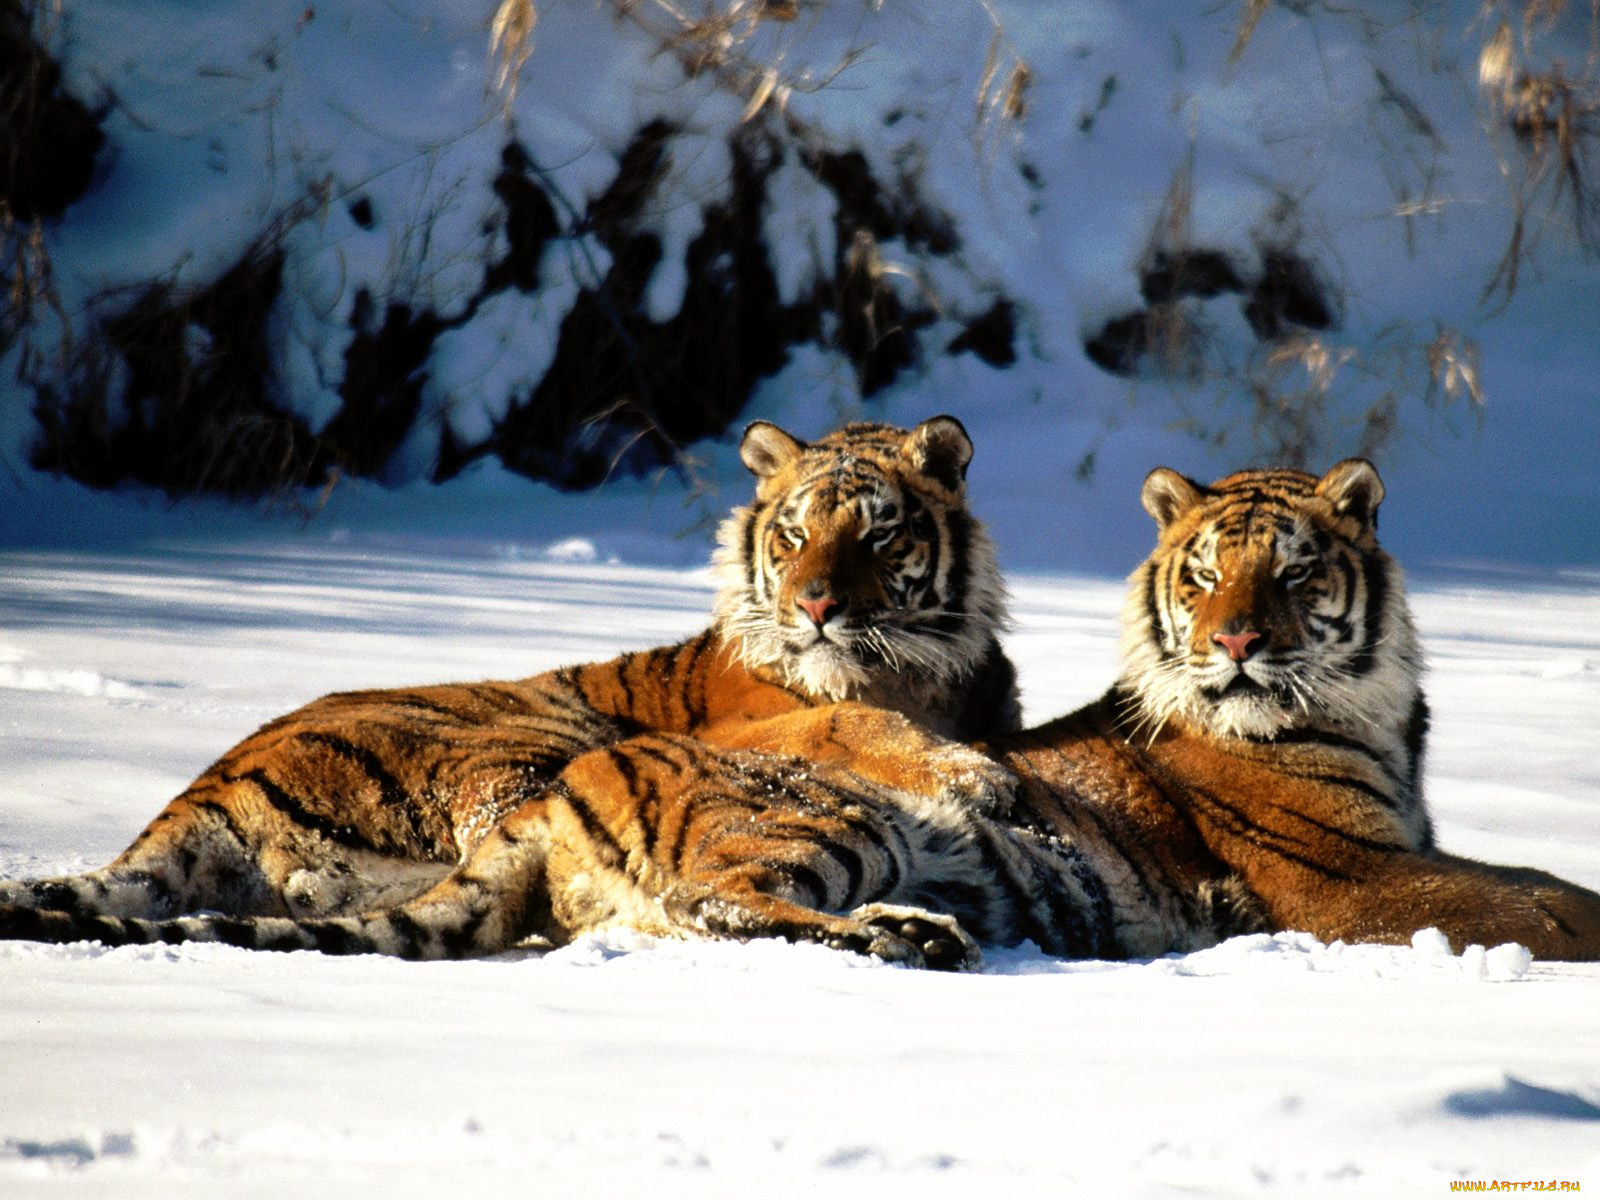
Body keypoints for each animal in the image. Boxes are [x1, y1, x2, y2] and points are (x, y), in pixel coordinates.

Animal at [0, 419, 1017, 934]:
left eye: (878, 535)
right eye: (795, 534)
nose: (814, 608)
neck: (918, 674)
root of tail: (206, 787)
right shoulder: (757, 728)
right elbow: (851, 726)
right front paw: (977, 777)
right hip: (524, 746)